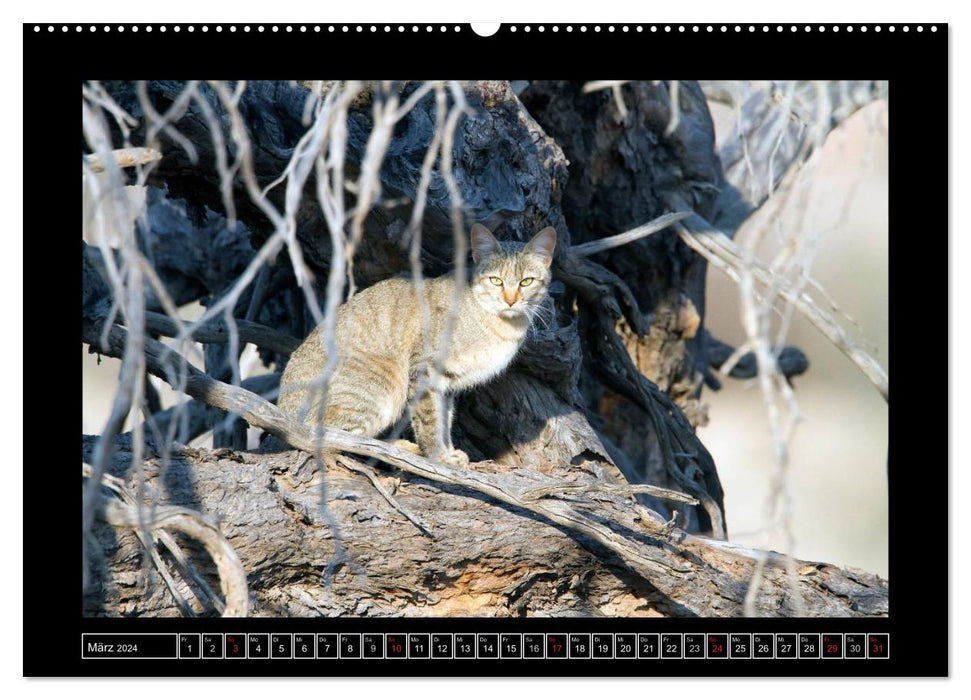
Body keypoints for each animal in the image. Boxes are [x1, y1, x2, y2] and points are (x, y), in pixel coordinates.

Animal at [278, 224, 560, 464]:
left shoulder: (448, 383)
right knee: (333, 437)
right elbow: (429, 420)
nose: (510, 300)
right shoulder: (425, 368)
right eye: (496, 280)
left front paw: (448, 452)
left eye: (526, 281)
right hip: (383, 380)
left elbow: (444, 418)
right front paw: (439, 458)